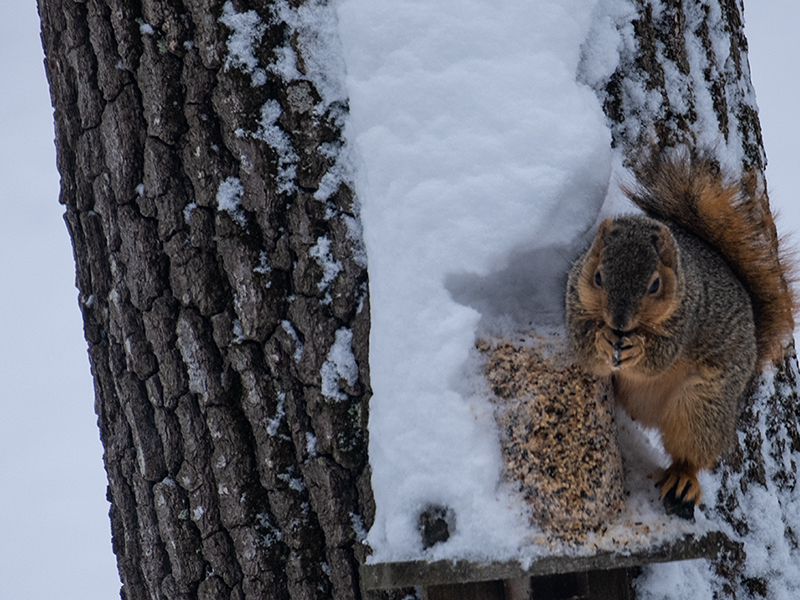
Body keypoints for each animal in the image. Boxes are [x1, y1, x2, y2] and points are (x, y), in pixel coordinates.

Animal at [564, 152, 792, 516]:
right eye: (598, 276)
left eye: (655, 284)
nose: (619, 322)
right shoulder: (575, 299)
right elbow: (584, 347)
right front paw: (601, 339)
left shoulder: (687, 318)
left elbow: (659, 357)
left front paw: (638, 349)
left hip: (704, 405)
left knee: (691, 453)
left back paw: (684, 480)